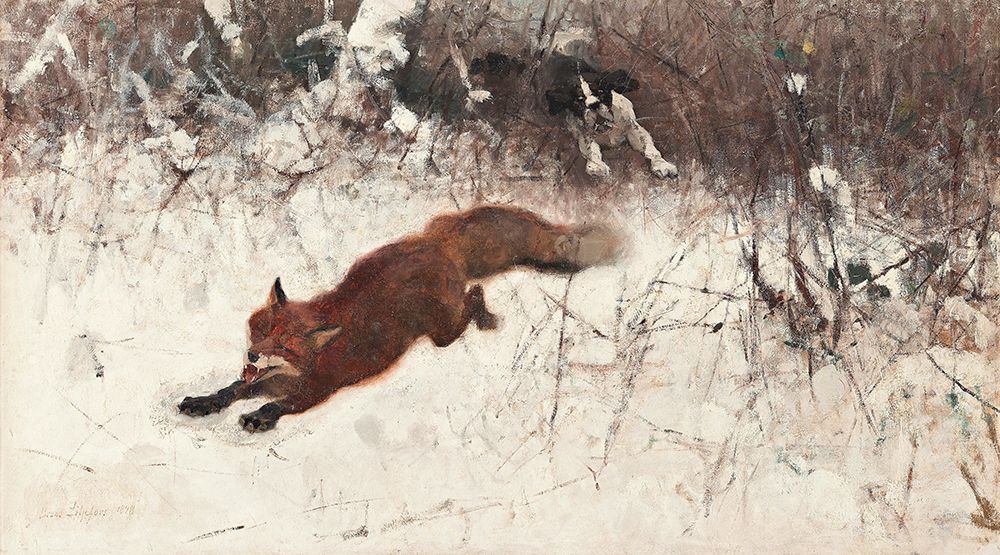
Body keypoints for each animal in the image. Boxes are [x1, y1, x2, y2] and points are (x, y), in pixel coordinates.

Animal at [178, 205, 622, 432]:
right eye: (263, 330)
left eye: (284, 345)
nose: (253, 355)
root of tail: (436, 242)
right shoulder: (263, 379)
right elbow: (230, 390)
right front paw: (203, 402)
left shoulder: (318, 389)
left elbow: (280, 405)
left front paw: (259, 417)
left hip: (442, 331)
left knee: (473, 297)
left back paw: (486, 316)